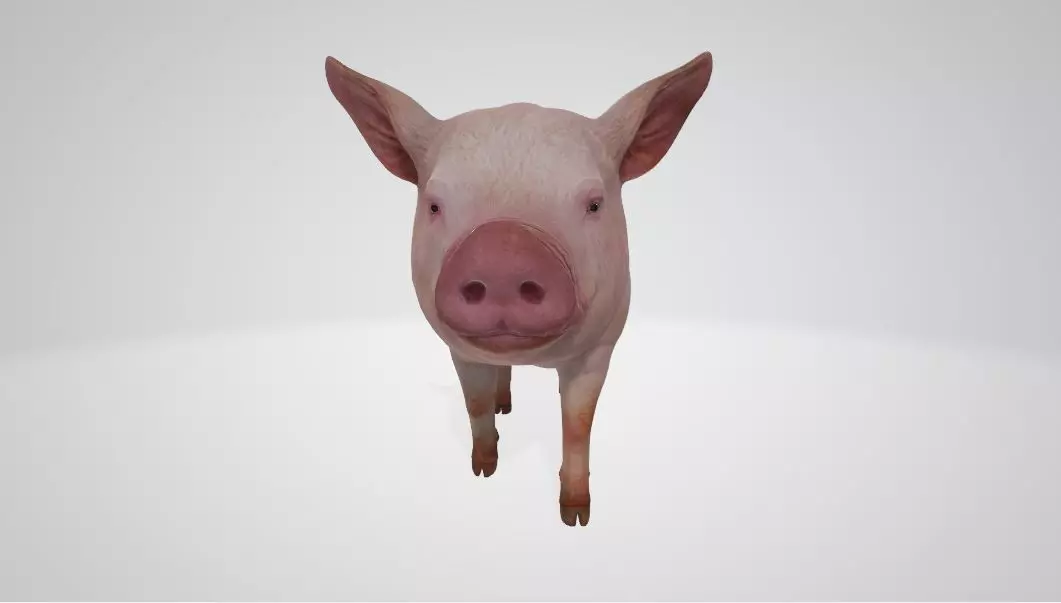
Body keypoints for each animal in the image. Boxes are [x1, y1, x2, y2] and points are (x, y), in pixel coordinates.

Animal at [324, 51, 713, 526]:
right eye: (434, 204)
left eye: (594, 203)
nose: (502, 254)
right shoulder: (460, 348)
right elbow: (474, 402)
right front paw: (483, 471)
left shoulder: (601, 344)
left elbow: (578, 421)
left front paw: (576, 515)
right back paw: (504, 406)